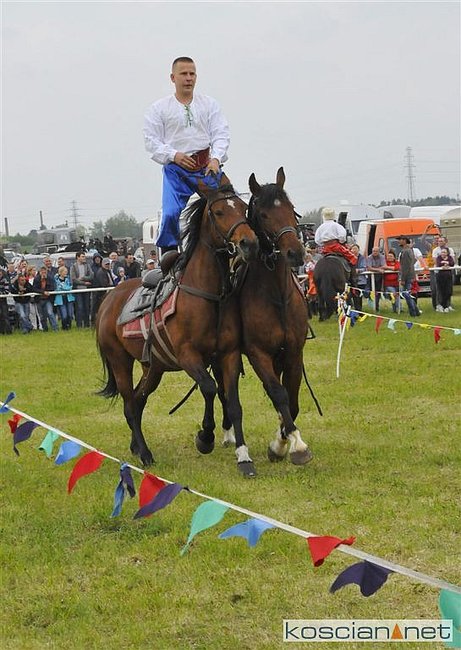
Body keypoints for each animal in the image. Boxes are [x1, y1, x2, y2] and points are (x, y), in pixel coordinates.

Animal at [95, 175, 259, 467]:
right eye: (219, 212)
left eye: (243, 209)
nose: (249, 244)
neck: (208, 296)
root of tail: (108, 299)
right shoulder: (187, 355)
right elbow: (209, 388)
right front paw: (205, 437)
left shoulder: (228, 354)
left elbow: (232, 401)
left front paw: (243, 455)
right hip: (119, 361)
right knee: (129, 403)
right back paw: (145, 453)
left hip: (153, 367)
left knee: (137, 400)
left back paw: (136, 446)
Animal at [198, 168, 314, 477]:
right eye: (262, 214)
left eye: (291, 209)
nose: (295, 253)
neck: (277, 295)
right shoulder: (257, 353)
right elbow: (278, 393)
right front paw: (291, 446)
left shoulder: (294, 353)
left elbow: (291, 400)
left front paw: (284, 439)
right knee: (222, 390)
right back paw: (227, 434)